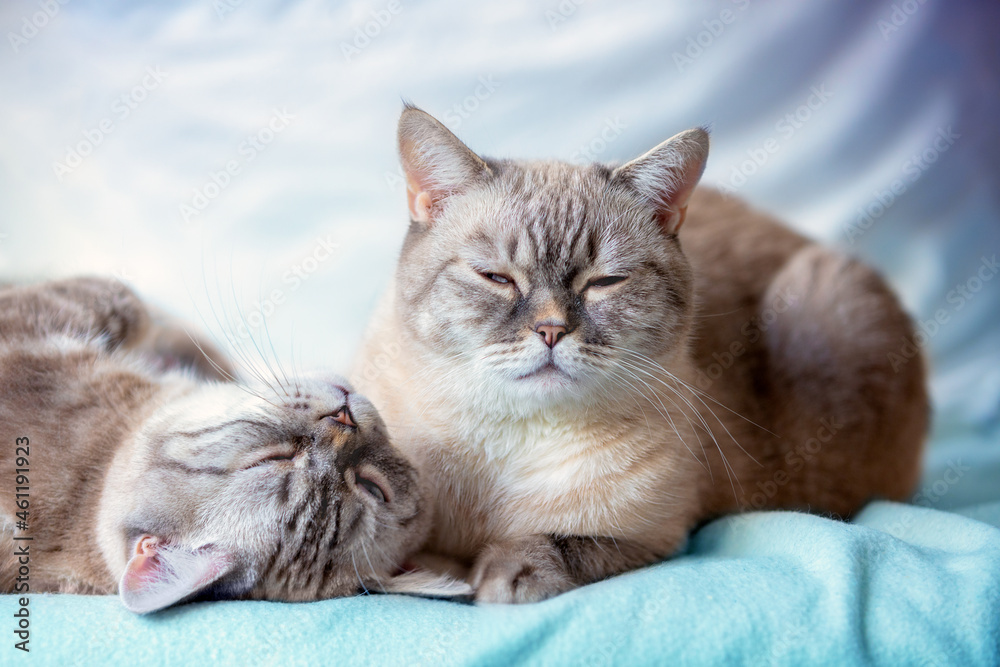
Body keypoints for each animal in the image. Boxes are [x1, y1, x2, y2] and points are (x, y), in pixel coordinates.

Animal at [354, 105, 928, 604]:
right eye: (496, 278)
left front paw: (502, 574)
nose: (551, 330)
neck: (505, 444)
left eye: (604, 283)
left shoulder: (656, 537)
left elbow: (561, 542)